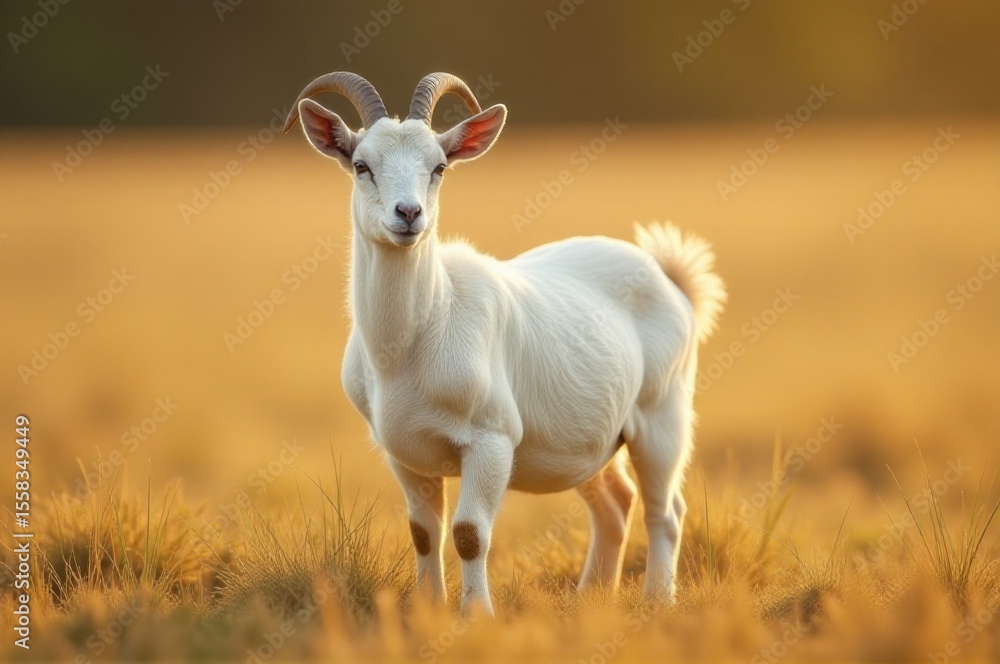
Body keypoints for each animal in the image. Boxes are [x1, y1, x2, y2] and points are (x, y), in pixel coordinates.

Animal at [283, 72, 726, 614]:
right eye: (361, 164)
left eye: (439, 167)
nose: (408, 213)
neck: (413, 343)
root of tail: (671, 277)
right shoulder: (403, 454)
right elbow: (423, 532)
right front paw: (428, 609)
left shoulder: (491, 439)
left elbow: (469, 532)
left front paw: (476, 615)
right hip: (592, 438)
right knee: (616, 502)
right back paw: (591, 597)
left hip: (662, 415)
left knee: (665, 509)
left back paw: (658, 601)